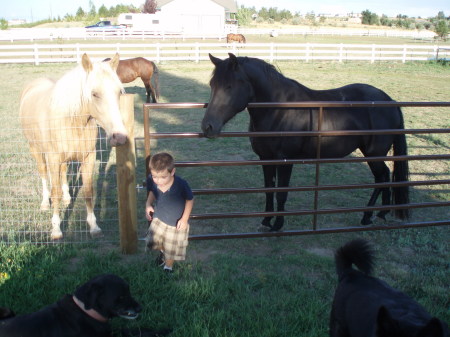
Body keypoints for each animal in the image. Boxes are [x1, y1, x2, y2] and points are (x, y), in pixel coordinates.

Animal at [0, 272, 169, 336]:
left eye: (129, 291)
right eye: (121, 297)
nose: (140, 308)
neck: (86, 312)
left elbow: (134, 330)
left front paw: (161, 330)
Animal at [20, 52, 127, 239]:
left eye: (119, 92)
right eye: (94, 94)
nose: (118, 137)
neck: (71, 121)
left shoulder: (88, 157)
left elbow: (88, 191)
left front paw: (94, 226)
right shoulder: (53, 159)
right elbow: (54, 192)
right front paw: (56, 229)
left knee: (63, 173)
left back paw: (68, 198)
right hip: (36, 150)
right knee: (44, 175)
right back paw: (44, 203)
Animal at [202, 53, 410, 231]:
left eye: (229, 86)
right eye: (212, 84)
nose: (208, 127)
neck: (279, 109)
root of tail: (389, 100)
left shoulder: (285, 161)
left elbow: (281, 193)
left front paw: (278, 225)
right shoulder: (266, 158)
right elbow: (269, 190)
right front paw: (266, 221)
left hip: (374, 154)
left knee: (382, 177)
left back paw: (370, 216)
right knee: (383, 177)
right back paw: (379, 214)